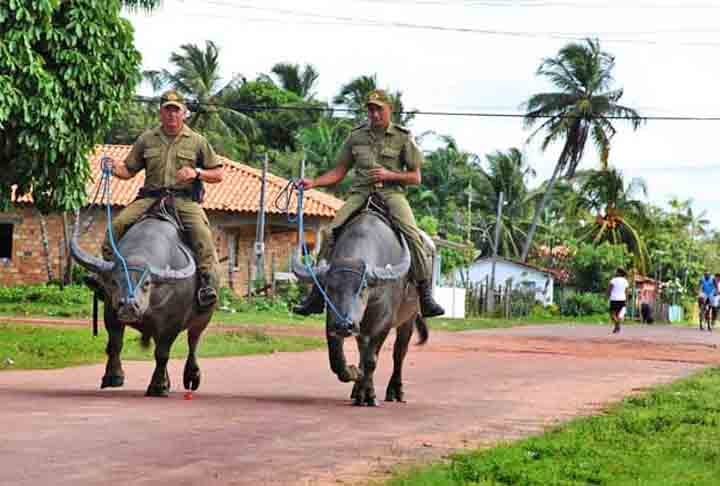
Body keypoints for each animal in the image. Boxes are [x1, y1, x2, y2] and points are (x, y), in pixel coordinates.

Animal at [69, 203, 212, 396]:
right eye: (113, 281)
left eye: (147, 283)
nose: (129, 306)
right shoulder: (111, 311)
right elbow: (115, 344)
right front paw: (113, 377)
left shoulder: (172, 323)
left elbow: (162, 354)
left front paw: (157, 387)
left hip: (203, 318)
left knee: (193, 341)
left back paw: (191, 376)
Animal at [292, 207, 428, 404]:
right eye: (329, 287)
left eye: (363, 287)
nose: (344, 325)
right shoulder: (333, 318)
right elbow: (336, 359)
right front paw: (354, 374)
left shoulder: (385, 322)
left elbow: (372, 359)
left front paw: (370, 395)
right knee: (363, 349)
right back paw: (358, 390)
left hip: (408, 318)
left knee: (399, 353)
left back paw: (395, 391)